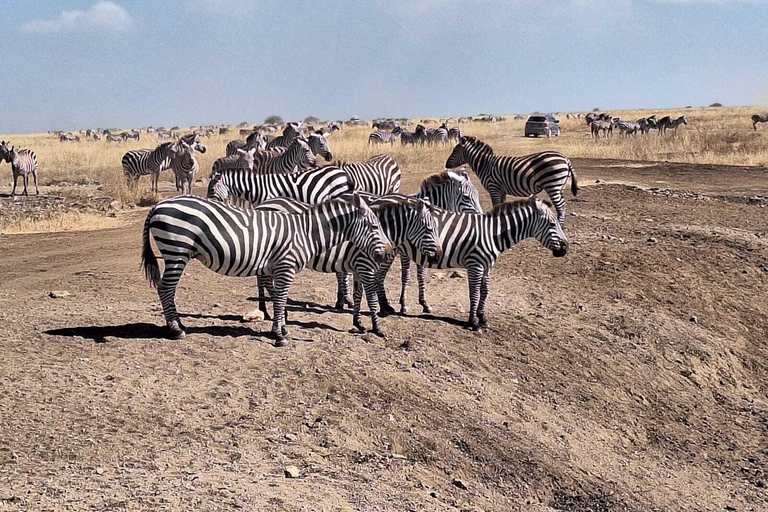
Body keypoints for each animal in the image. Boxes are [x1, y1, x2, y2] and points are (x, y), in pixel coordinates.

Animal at [140, 194, 390, 346]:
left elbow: (279, 297)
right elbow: (280, 299)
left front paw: (280, 328)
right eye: (374, 226)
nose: (387, 253)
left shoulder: (275, 267)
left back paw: (180, 325)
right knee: (165, 289)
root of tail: (159, 205)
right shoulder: (286, 266)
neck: (305, 233)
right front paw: (279, 335)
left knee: (167, 290)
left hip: (175, 252)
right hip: (176, 250)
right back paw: (175, 330)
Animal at [444, 135, 576, 225]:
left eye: (454, 151)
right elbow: (501, 205)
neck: (485, 165)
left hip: (552, 184)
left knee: (560, 206)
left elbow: (496, 205)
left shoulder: (493, 187)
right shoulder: (501, 190)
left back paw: (559, 225)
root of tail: (565, 158)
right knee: (563, 204)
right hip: (559, 186)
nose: (446, 165)